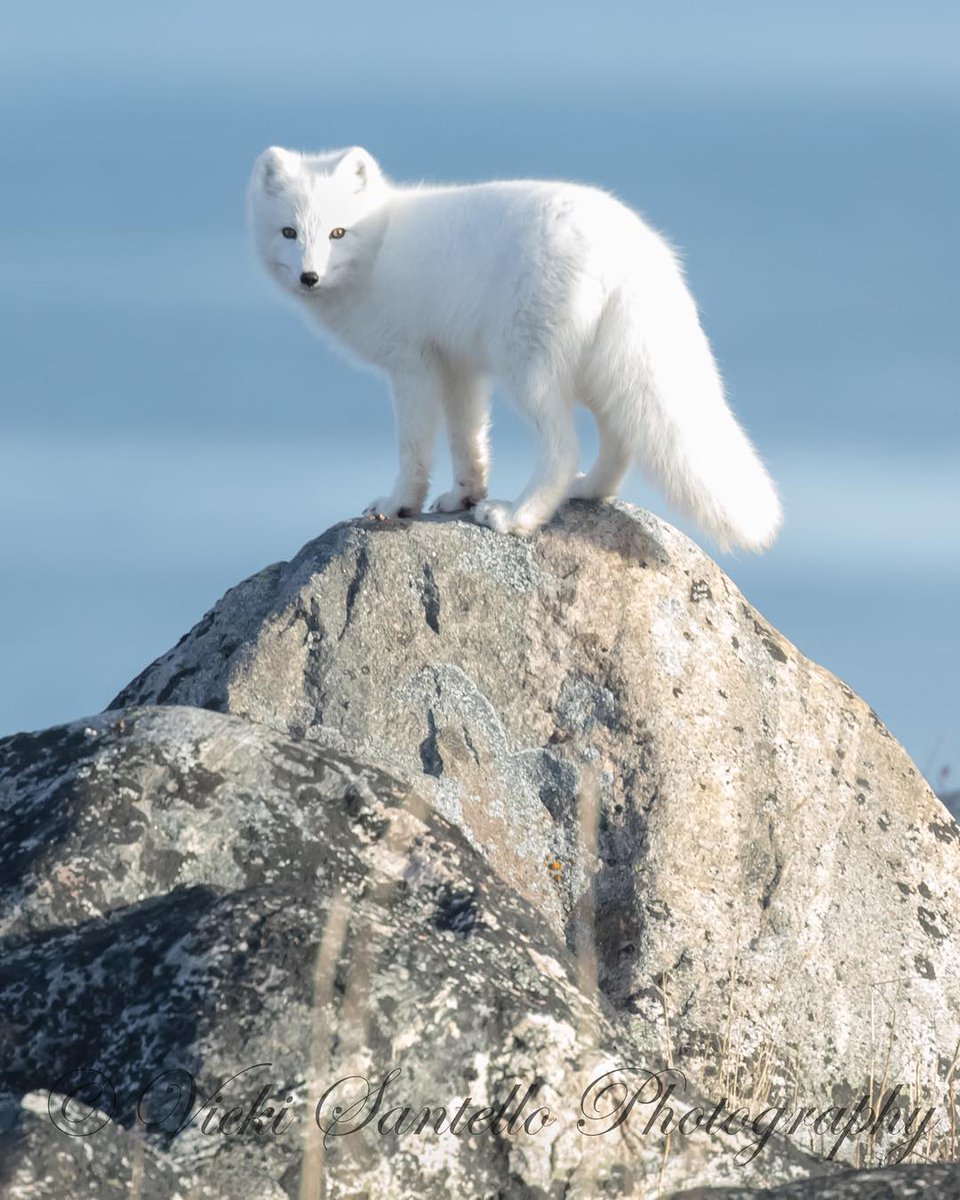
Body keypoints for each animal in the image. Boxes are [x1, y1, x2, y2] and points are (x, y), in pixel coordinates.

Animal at [247, 146, 782, 551]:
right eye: (289, 233)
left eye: (338, 233)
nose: (309, 277)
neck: (378, 251)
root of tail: (631, 245)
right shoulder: (458, 367)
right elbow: (467, 441)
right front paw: (463, 497)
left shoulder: (412, 367)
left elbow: (413, 450)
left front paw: (399, 505)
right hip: (598, 369)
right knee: (618, 439)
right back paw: (587, 490)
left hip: (528, 369)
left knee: (563, 448)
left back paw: (519, 516)